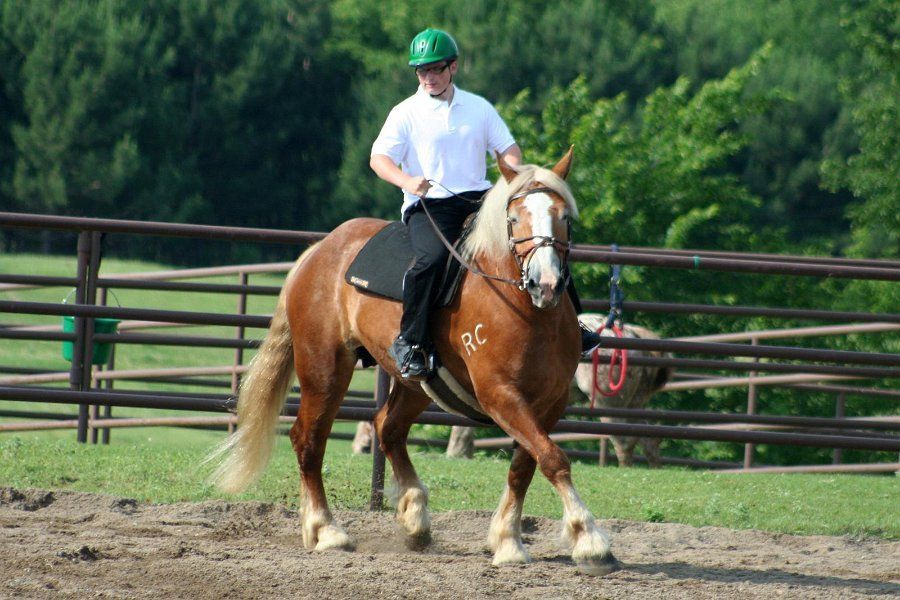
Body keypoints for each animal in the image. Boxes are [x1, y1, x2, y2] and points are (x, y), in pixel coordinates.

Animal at [205, 148, 617, 575]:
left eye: (563, 217)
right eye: (515, 217)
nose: (545, 283)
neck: (527, 312)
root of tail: (318, 251)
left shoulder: (549, 402)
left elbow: (526, 465)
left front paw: (507, 540)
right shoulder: (500, 395)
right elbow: (553, 458)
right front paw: (589, 541)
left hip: (416, 384)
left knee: (387, 428)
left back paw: (414, 517)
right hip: (325, 368)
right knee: (309, 439)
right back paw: (326, 531)